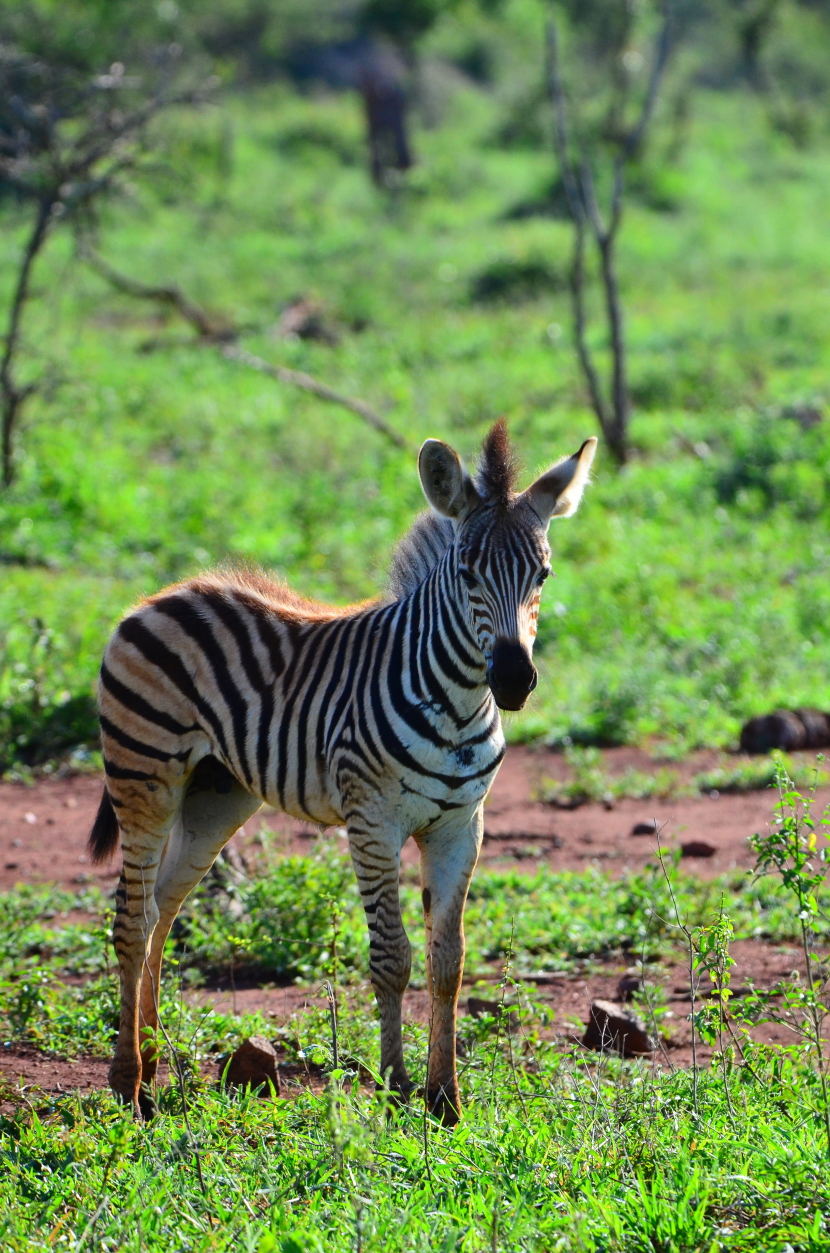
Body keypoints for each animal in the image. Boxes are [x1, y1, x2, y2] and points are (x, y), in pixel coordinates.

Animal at [89, 421, 599, 1127]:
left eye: (543, 574)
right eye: (467, 572)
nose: (514, 679)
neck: (458, 700)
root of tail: (160, 597)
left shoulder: (460, 827)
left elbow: (448, 961)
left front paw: (446, 1100)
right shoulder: (373, 822)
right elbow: (392, 958)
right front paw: (395, 1090)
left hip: (218, 796)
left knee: (164, 905)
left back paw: (157, 1064)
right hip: (145, 778)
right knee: (132, 921)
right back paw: (127, 1082)